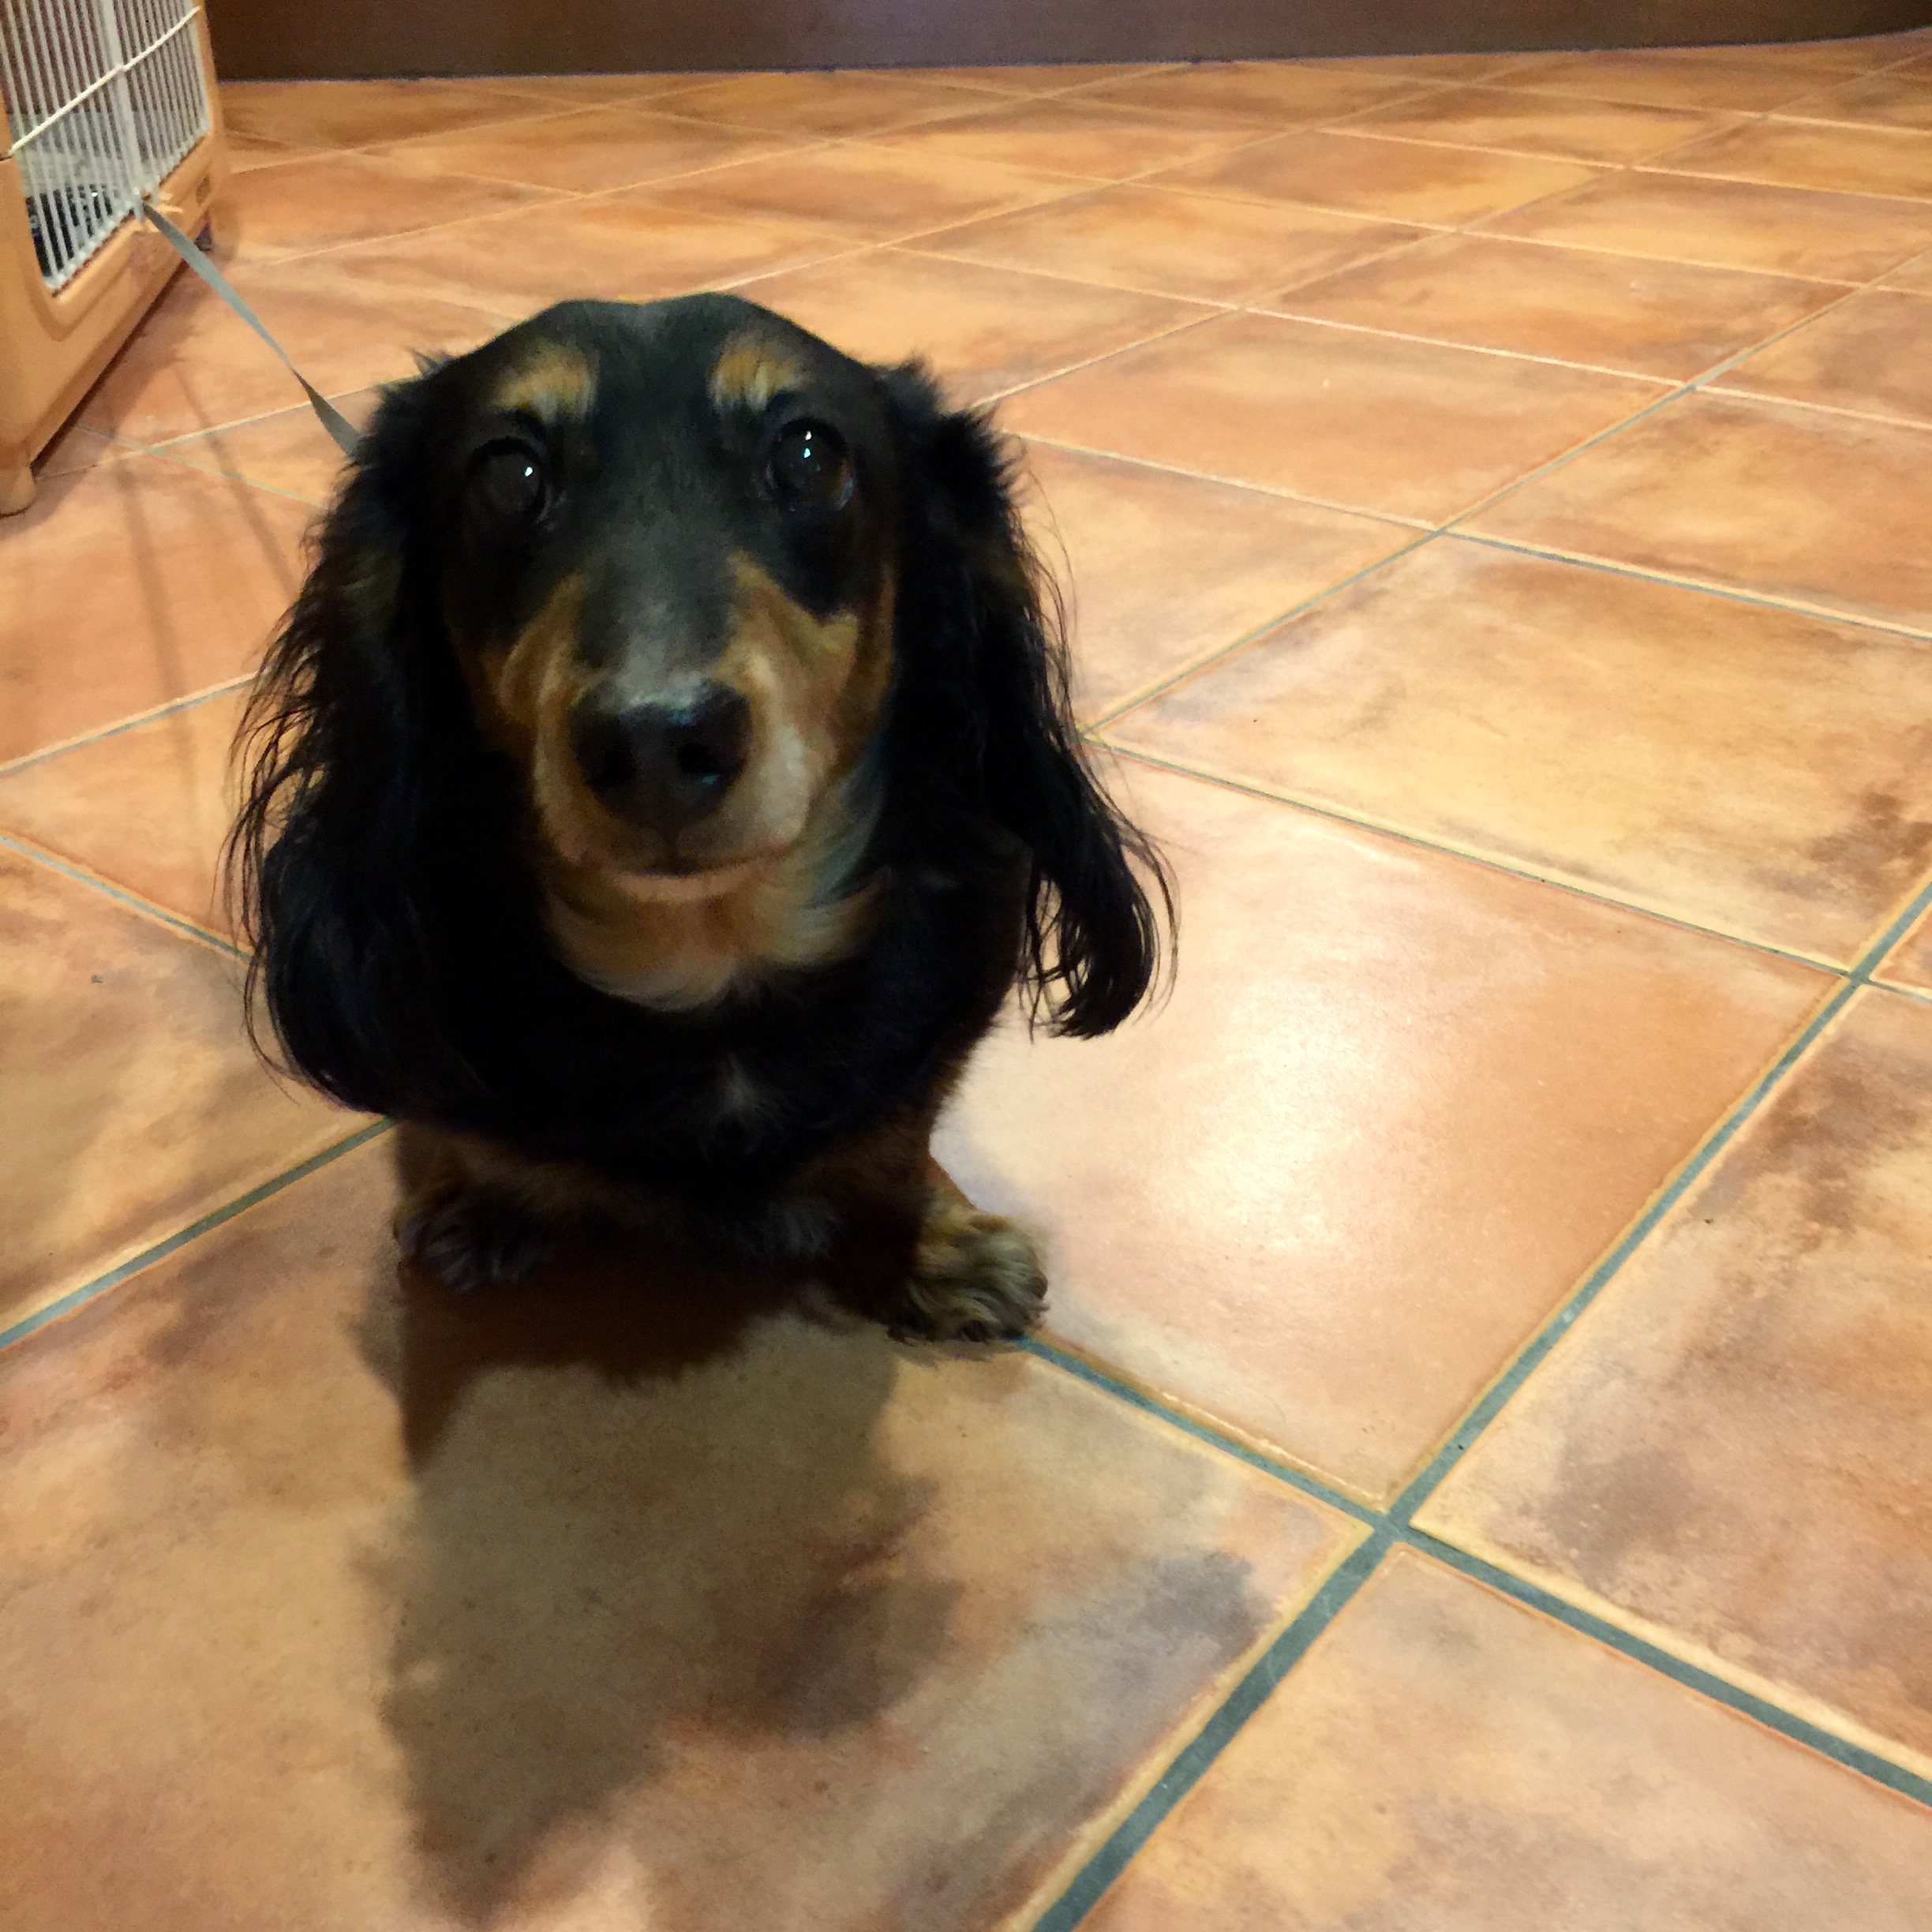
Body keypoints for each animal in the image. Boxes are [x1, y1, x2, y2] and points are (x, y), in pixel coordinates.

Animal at [231, 294, 1170, 1343]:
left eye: (810, 454)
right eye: (509, 475)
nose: (655, 742)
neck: (710, 961)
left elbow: (895, 1143)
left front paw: (923, 1236)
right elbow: (472, 1138)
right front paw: (492, 1200)